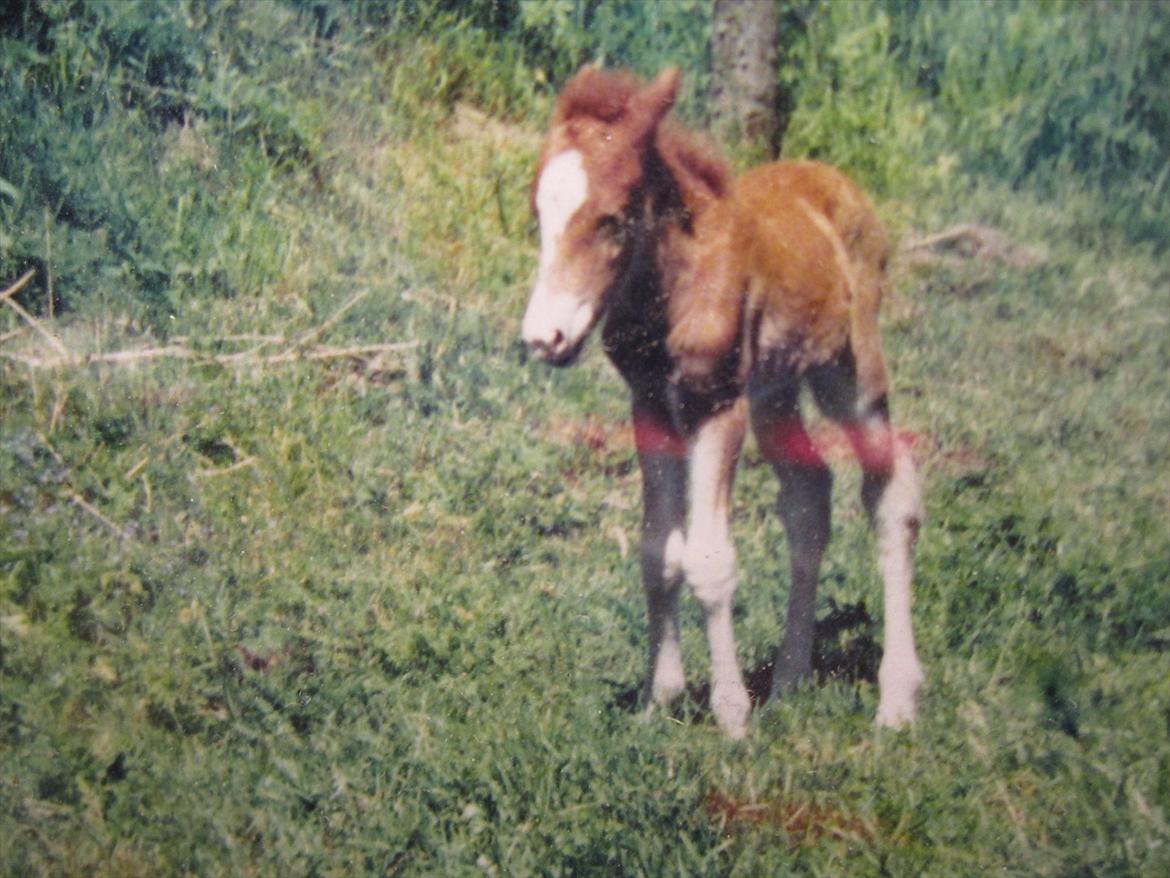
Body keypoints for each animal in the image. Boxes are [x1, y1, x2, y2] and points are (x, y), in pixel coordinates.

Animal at [521, 65, 921, 739]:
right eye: (537, 215)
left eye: (613, 219)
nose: (543, 338)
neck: (675, 286)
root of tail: (839, 181)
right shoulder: (650, 405)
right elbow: (658, 552)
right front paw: (658, 701)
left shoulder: (717, 407)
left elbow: (709, 561)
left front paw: (731, 716)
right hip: (775, 392)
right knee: (810, 495)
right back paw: (789, 681)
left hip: (850, 375)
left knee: (890, 492)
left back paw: (897, 699)